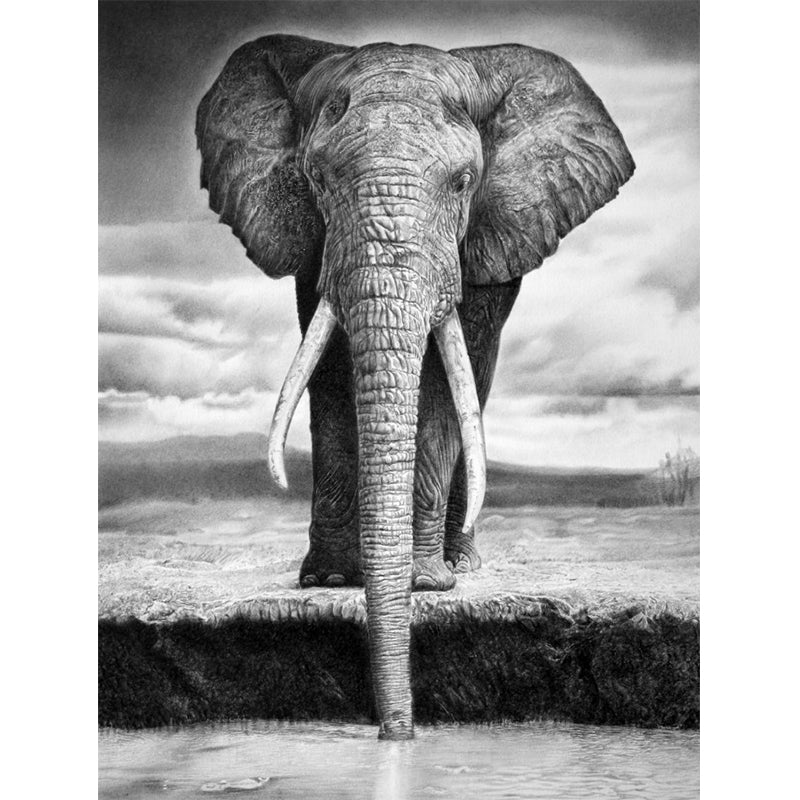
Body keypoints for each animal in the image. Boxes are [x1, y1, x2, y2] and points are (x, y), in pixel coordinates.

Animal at [196, 34, 634, 739]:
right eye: (318, 180)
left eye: (463, 183)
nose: (396, 732)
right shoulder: (318, 245)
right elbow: (330, 371)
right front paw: (328, 580)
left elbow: (445, 386)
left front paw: (426, 586)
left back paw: (460, 565)